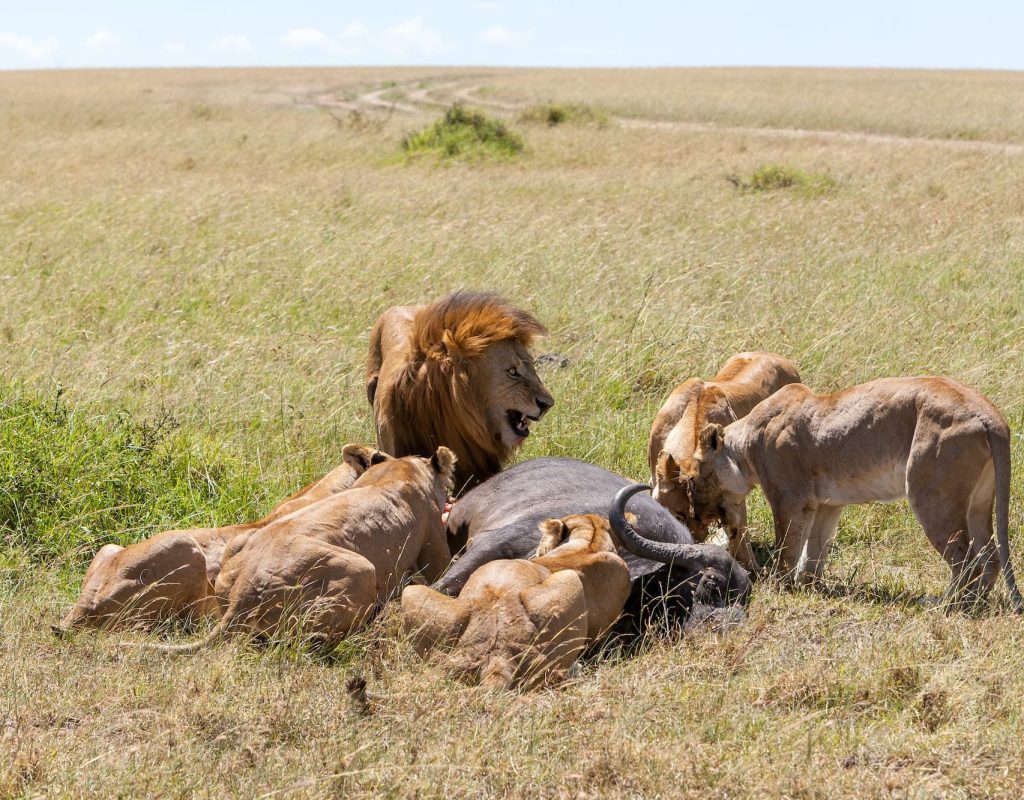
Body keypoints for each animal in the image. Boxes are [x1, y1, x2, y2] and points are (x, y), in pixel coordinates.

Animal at [142, 446, 455, 653]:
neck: (401, 468)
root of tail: (244, 594)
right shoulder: (433, 535)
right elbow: (441, 570)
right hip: (362, 569)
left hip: (236, 550)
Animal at [648, 351, 800, 570]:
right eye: (678, 515)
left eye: (703, 516)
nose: (695, 541)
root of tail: (772, 354)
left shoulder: (734, 492)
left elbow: (740, 536)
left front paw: (752, 570)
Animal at [683, 376, 1023, 610]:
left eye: (693, 479)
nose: (695, 512)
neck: (745, 447)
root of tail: (991, 416)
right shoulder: (826, 504)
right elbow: (815, 548)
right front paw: (809, 585)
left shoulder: (791, 498)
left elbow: (787, 548)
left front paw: (780, 587)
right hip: (978, 503)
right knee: (990, 558)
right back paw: (977, 603)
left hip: (932, 497)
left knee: (966, 562)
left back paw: (947, 606)